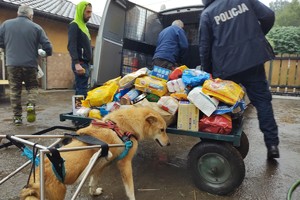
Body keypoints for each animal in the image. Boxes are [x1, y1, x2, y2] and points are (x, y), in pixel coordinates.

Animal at [19, 108, 170, 200]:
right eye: (162, 130)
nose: (169, 144)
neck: (123, 125)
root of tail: (35, 181)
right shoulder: (125, 163)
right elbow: (130, 189)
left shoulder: (99, 165)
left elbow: (93, 182)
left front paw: (94, 192)